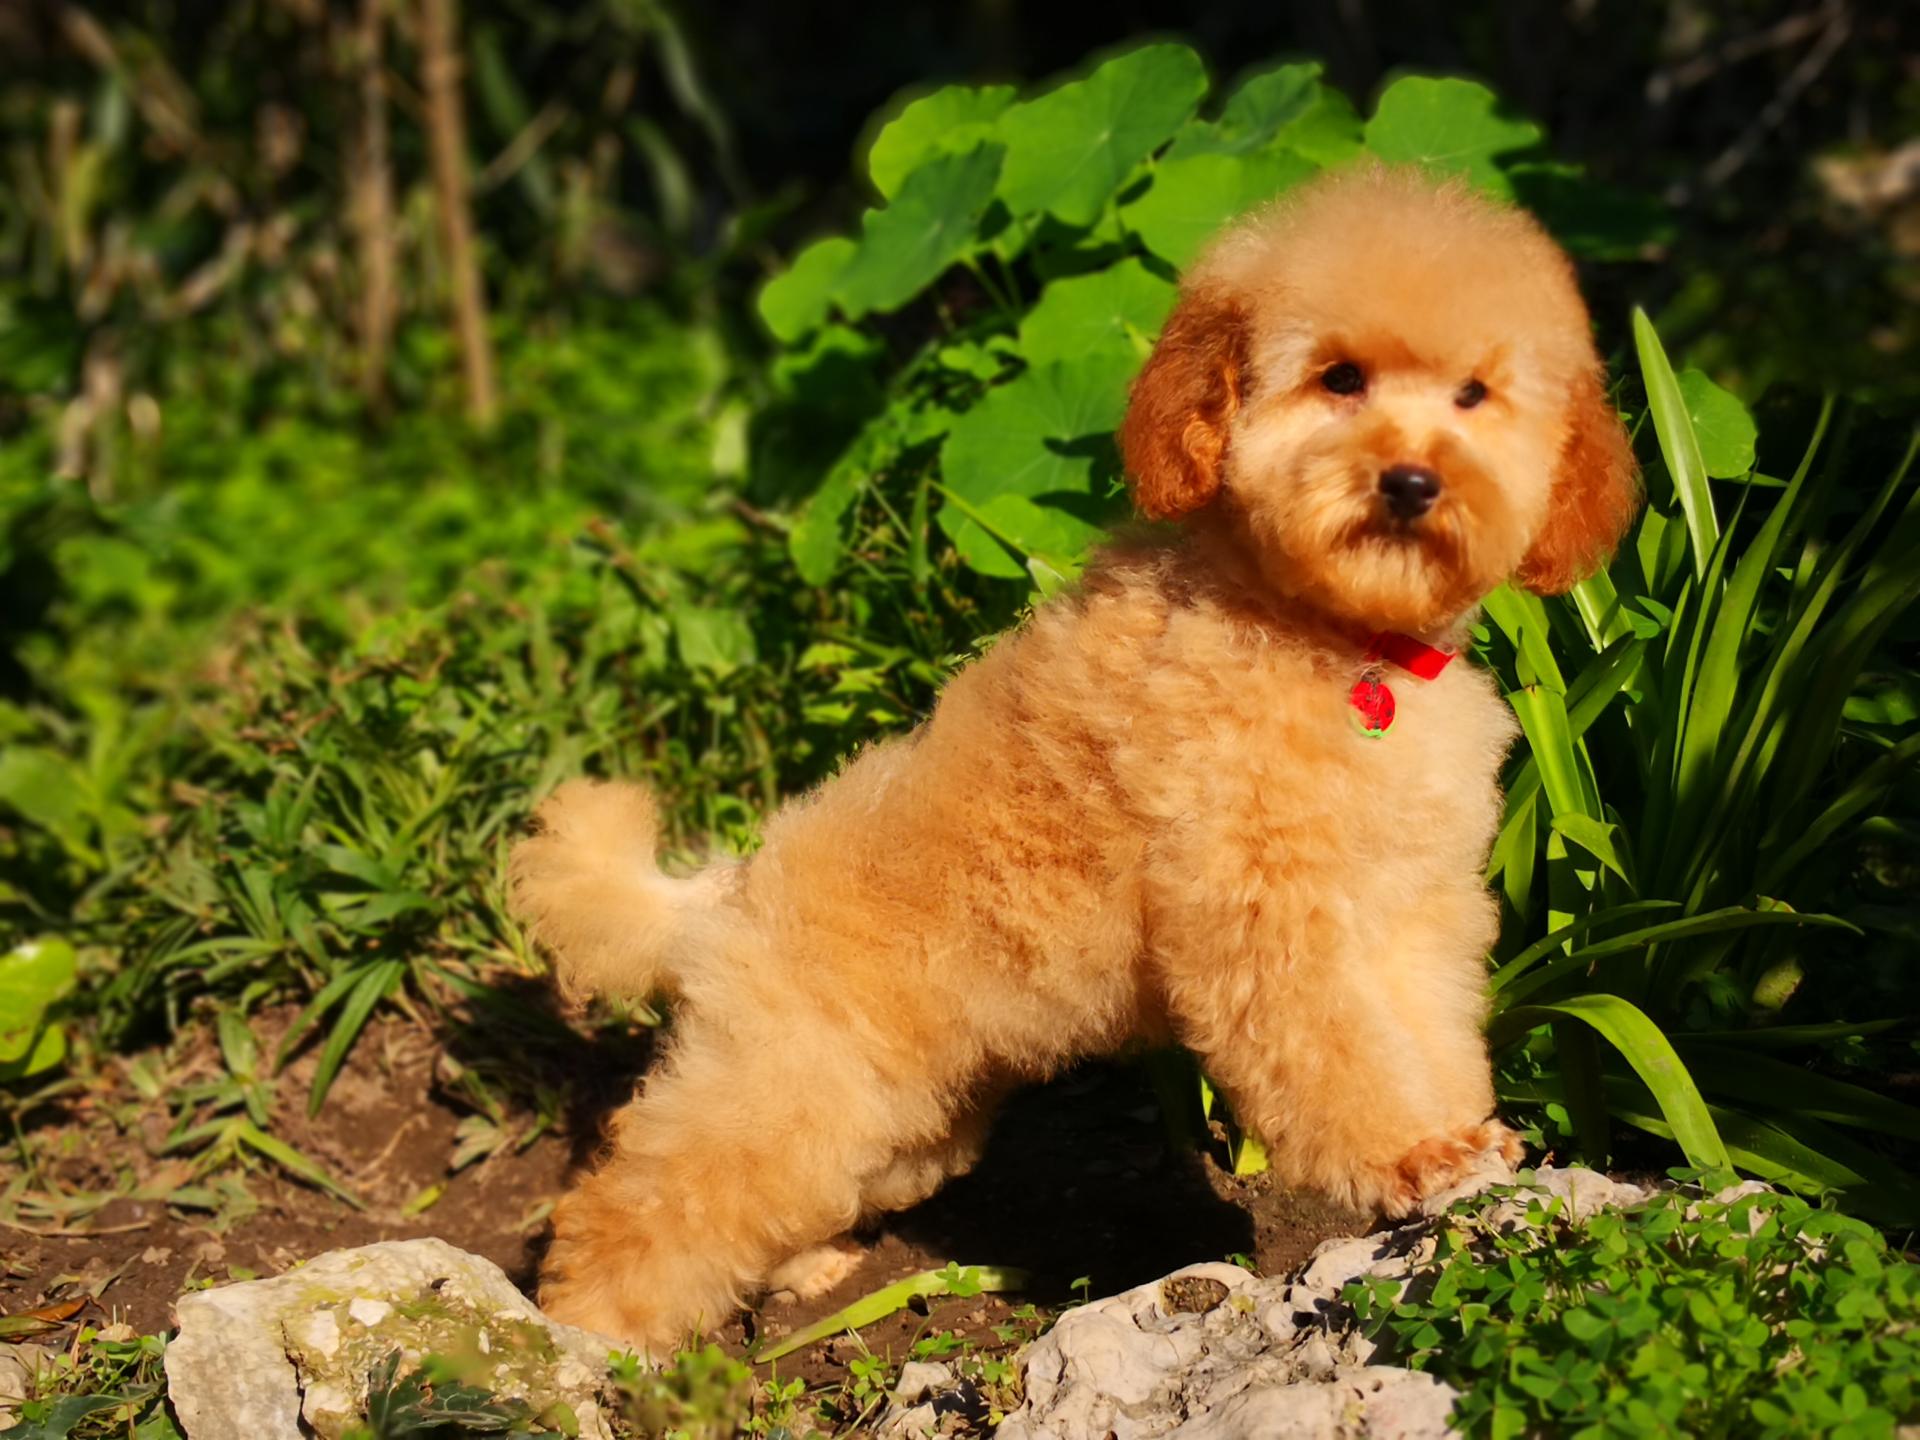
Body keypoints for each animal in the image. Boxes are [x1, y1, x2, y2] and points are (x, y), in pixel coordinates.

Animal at [510, 168, 1635, 1351]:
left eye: (1474, 395)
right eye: (1340, 377)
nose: (1412, 482)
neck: (1332, 640)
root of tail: (728, 891)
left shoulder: (1413, 908)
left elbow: (1428, 1035)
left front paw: (1458, 1142)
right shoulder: (1267, 922)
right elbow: (1336, 1059)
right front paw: (1404, 1156)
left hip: (903, 1122)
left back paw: (804, 1268)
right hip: (789, 1082)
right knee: (641, 1201)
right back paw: (592, 1342)